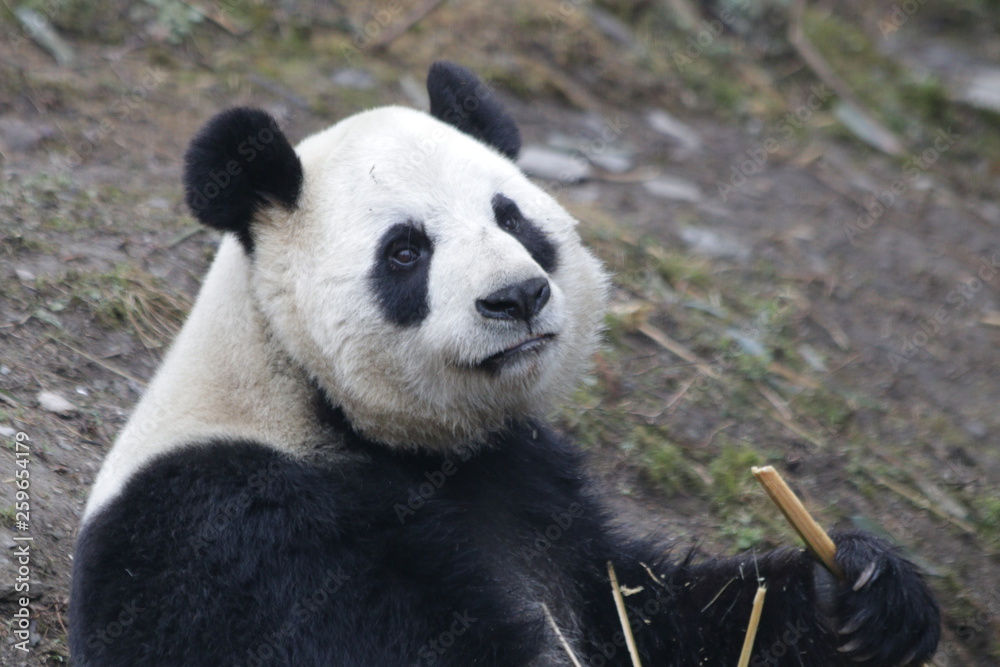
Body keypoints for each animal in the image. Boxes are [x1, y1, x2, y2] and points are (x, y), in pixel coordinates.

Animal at [70, 62, 940, 666]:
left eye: (513, 218)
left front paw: (858, 591)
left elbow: (649, 613)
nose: (517, 296)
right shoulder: (238, 526)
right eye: (406, 250)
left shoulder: (537, 491)